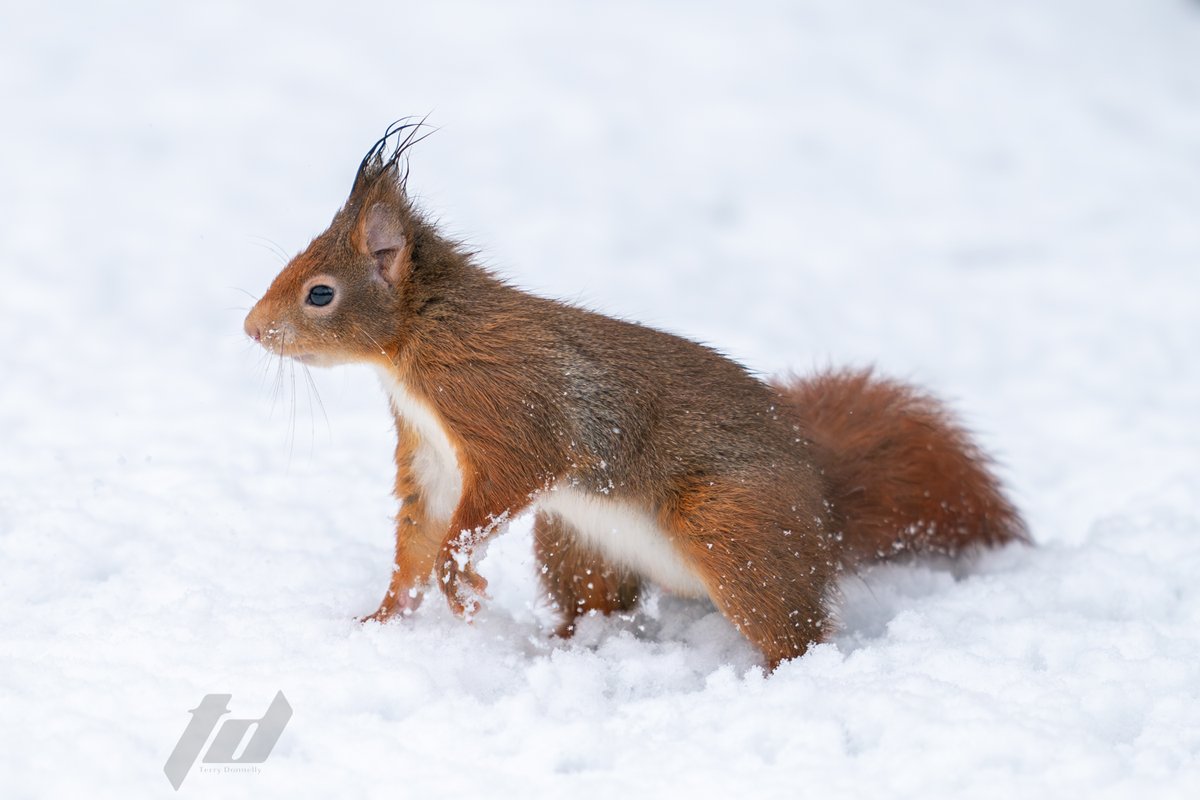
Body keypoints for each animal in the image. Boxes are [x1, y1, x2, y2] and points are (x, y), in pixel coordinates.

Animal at [244, 121, 1028, 669]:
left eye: (320, 293)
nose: (252, 329)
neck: (415, 346)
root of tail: (825, 514)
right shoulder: (430, 454)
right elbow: (420, 531)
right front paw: (381, 621)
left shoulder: (505, 404)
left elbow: (488, 501)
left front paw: (456, 578)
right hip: (576, 542)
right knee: (599, 607)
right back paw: (563, 646)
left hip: (734, 528)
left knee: (795, 627)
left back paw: (773, 676)